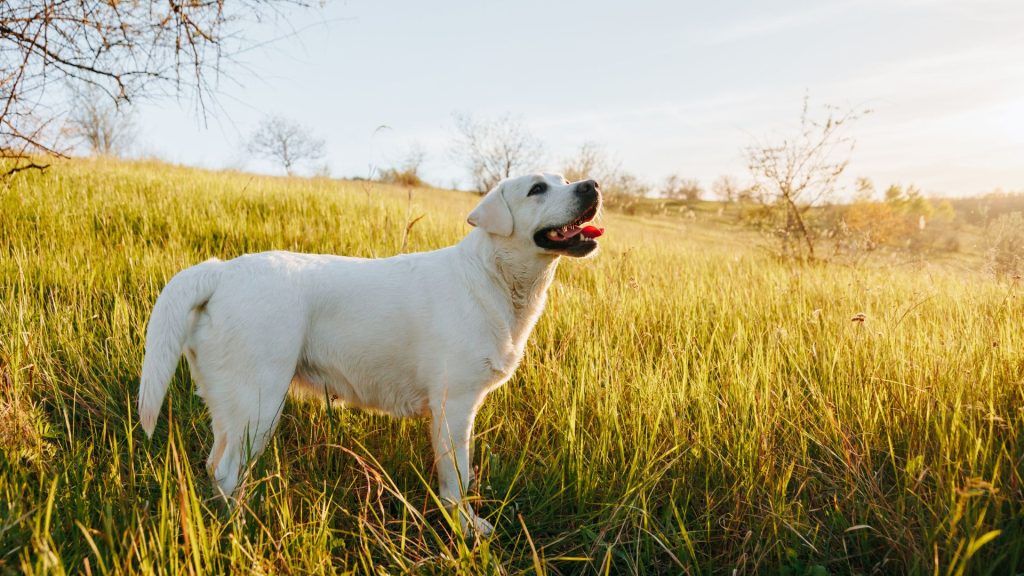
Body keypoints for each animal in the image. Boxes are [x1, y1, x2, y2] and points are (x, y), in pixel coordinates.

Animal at [136, 171, 598, 532]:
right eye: (537, 188)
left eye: (563, 178)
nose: (592, 186)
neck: (493, 275)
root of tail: (222, 270)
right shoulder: (454, 405)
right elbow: (458, 478)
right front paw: (465, 528)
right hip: (259, 401)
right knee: (228, 471)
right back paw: (243, 530)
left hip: (231, 405)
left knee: (215, 466)